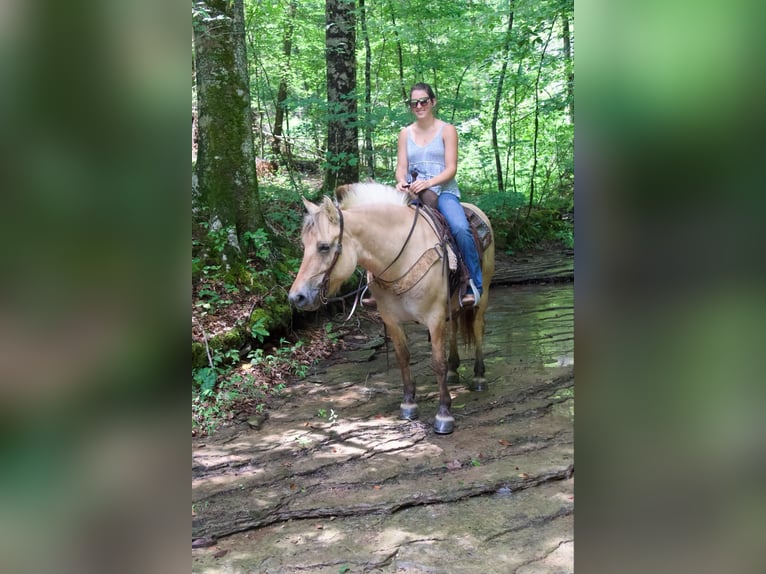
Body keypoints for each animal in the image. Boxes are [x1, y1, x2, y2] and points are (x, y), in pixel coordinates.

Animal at [290, 182, 498, 434]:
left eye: (323, 247)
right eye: (304, 245)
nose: (296, 297)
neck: (400, 258)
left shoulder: (434, 317)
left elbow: (437, 363)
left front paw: (444, 414)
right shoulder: (391, 319)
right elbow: (403, 358)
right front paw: (408, 403)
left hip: (483, 294)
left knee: (477, 328)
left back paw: (478, 377)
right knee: (456, 327)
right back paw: (453, 370)